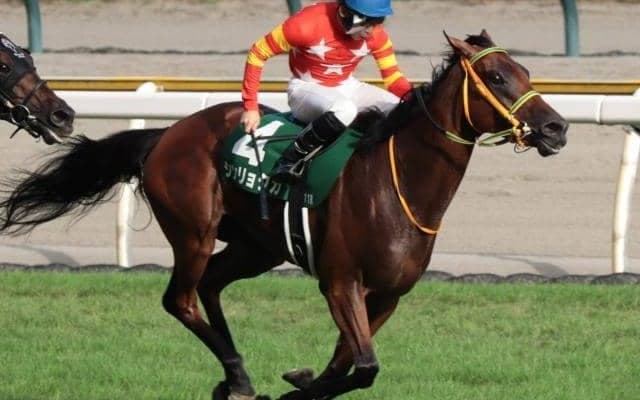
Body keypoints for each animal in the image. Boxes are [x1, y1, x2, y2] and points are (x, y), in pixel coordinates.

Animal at [0, 31, 567, 400]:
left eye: (526, 73)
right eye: (497, 76)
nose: (557, 128)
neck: (397, 183)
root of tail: (166, 134)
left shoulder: (388, 294)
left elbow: (348, 363)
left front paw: (303, 381)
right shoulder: (340, 281)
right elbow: (363, 365)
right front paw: (298, 387)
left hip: (257, 246)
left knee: (210, 286)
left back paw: (233, 378)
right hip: (194, 231)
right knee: (181, 298)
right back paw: (237, 375)